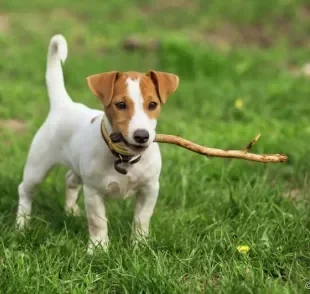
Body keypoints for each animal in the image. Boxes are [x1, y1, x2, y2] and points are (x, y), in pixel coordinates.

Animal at [16, 33, 179, 252]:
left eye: (153, 104)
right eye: (121, 104)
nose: (142, 135)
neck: (125, 157)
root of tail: (64, 104)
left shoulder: (150, 188)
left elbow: (142, 219)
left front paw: (140, 244)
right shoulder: (93, 191)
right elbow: (98, 221)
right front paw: (99, 248)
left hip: (77, 168)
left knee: (70, 179)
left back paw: (70, 211)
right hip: (37, 166)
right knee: (25, 190)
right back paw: (21, 224)